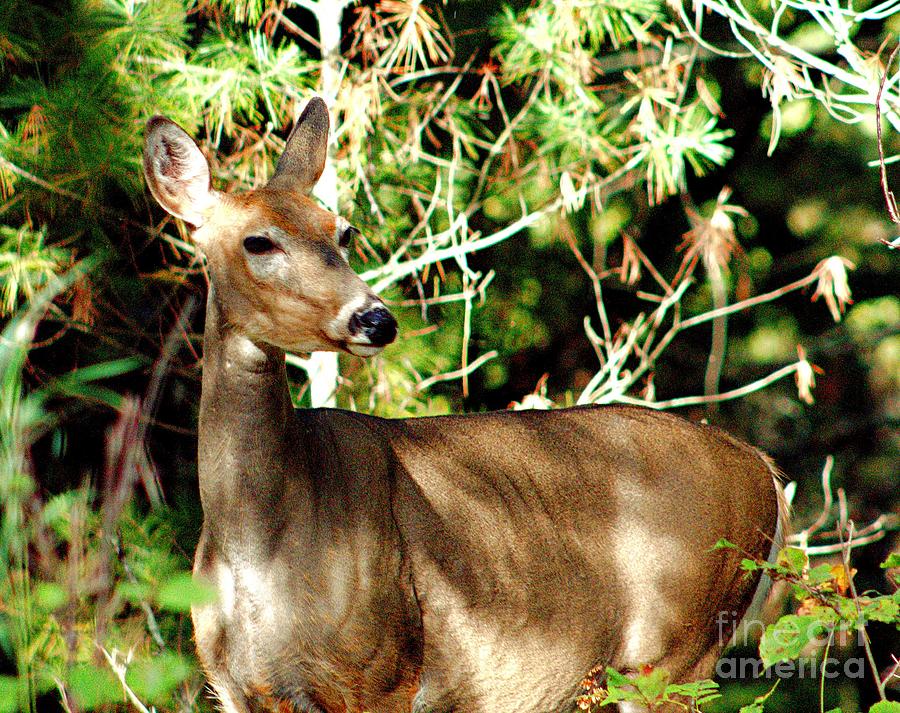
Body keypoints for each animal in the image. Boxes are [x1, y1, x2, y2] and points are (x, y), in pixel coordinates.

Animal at [142, 96, 788, 712]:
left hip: (674, 652)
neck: (256, 544)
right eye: (257, 240)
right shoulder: (235, 687)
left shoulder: (383, 673)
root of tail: (764, 471)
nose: (375, 319)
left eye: (342, 232)